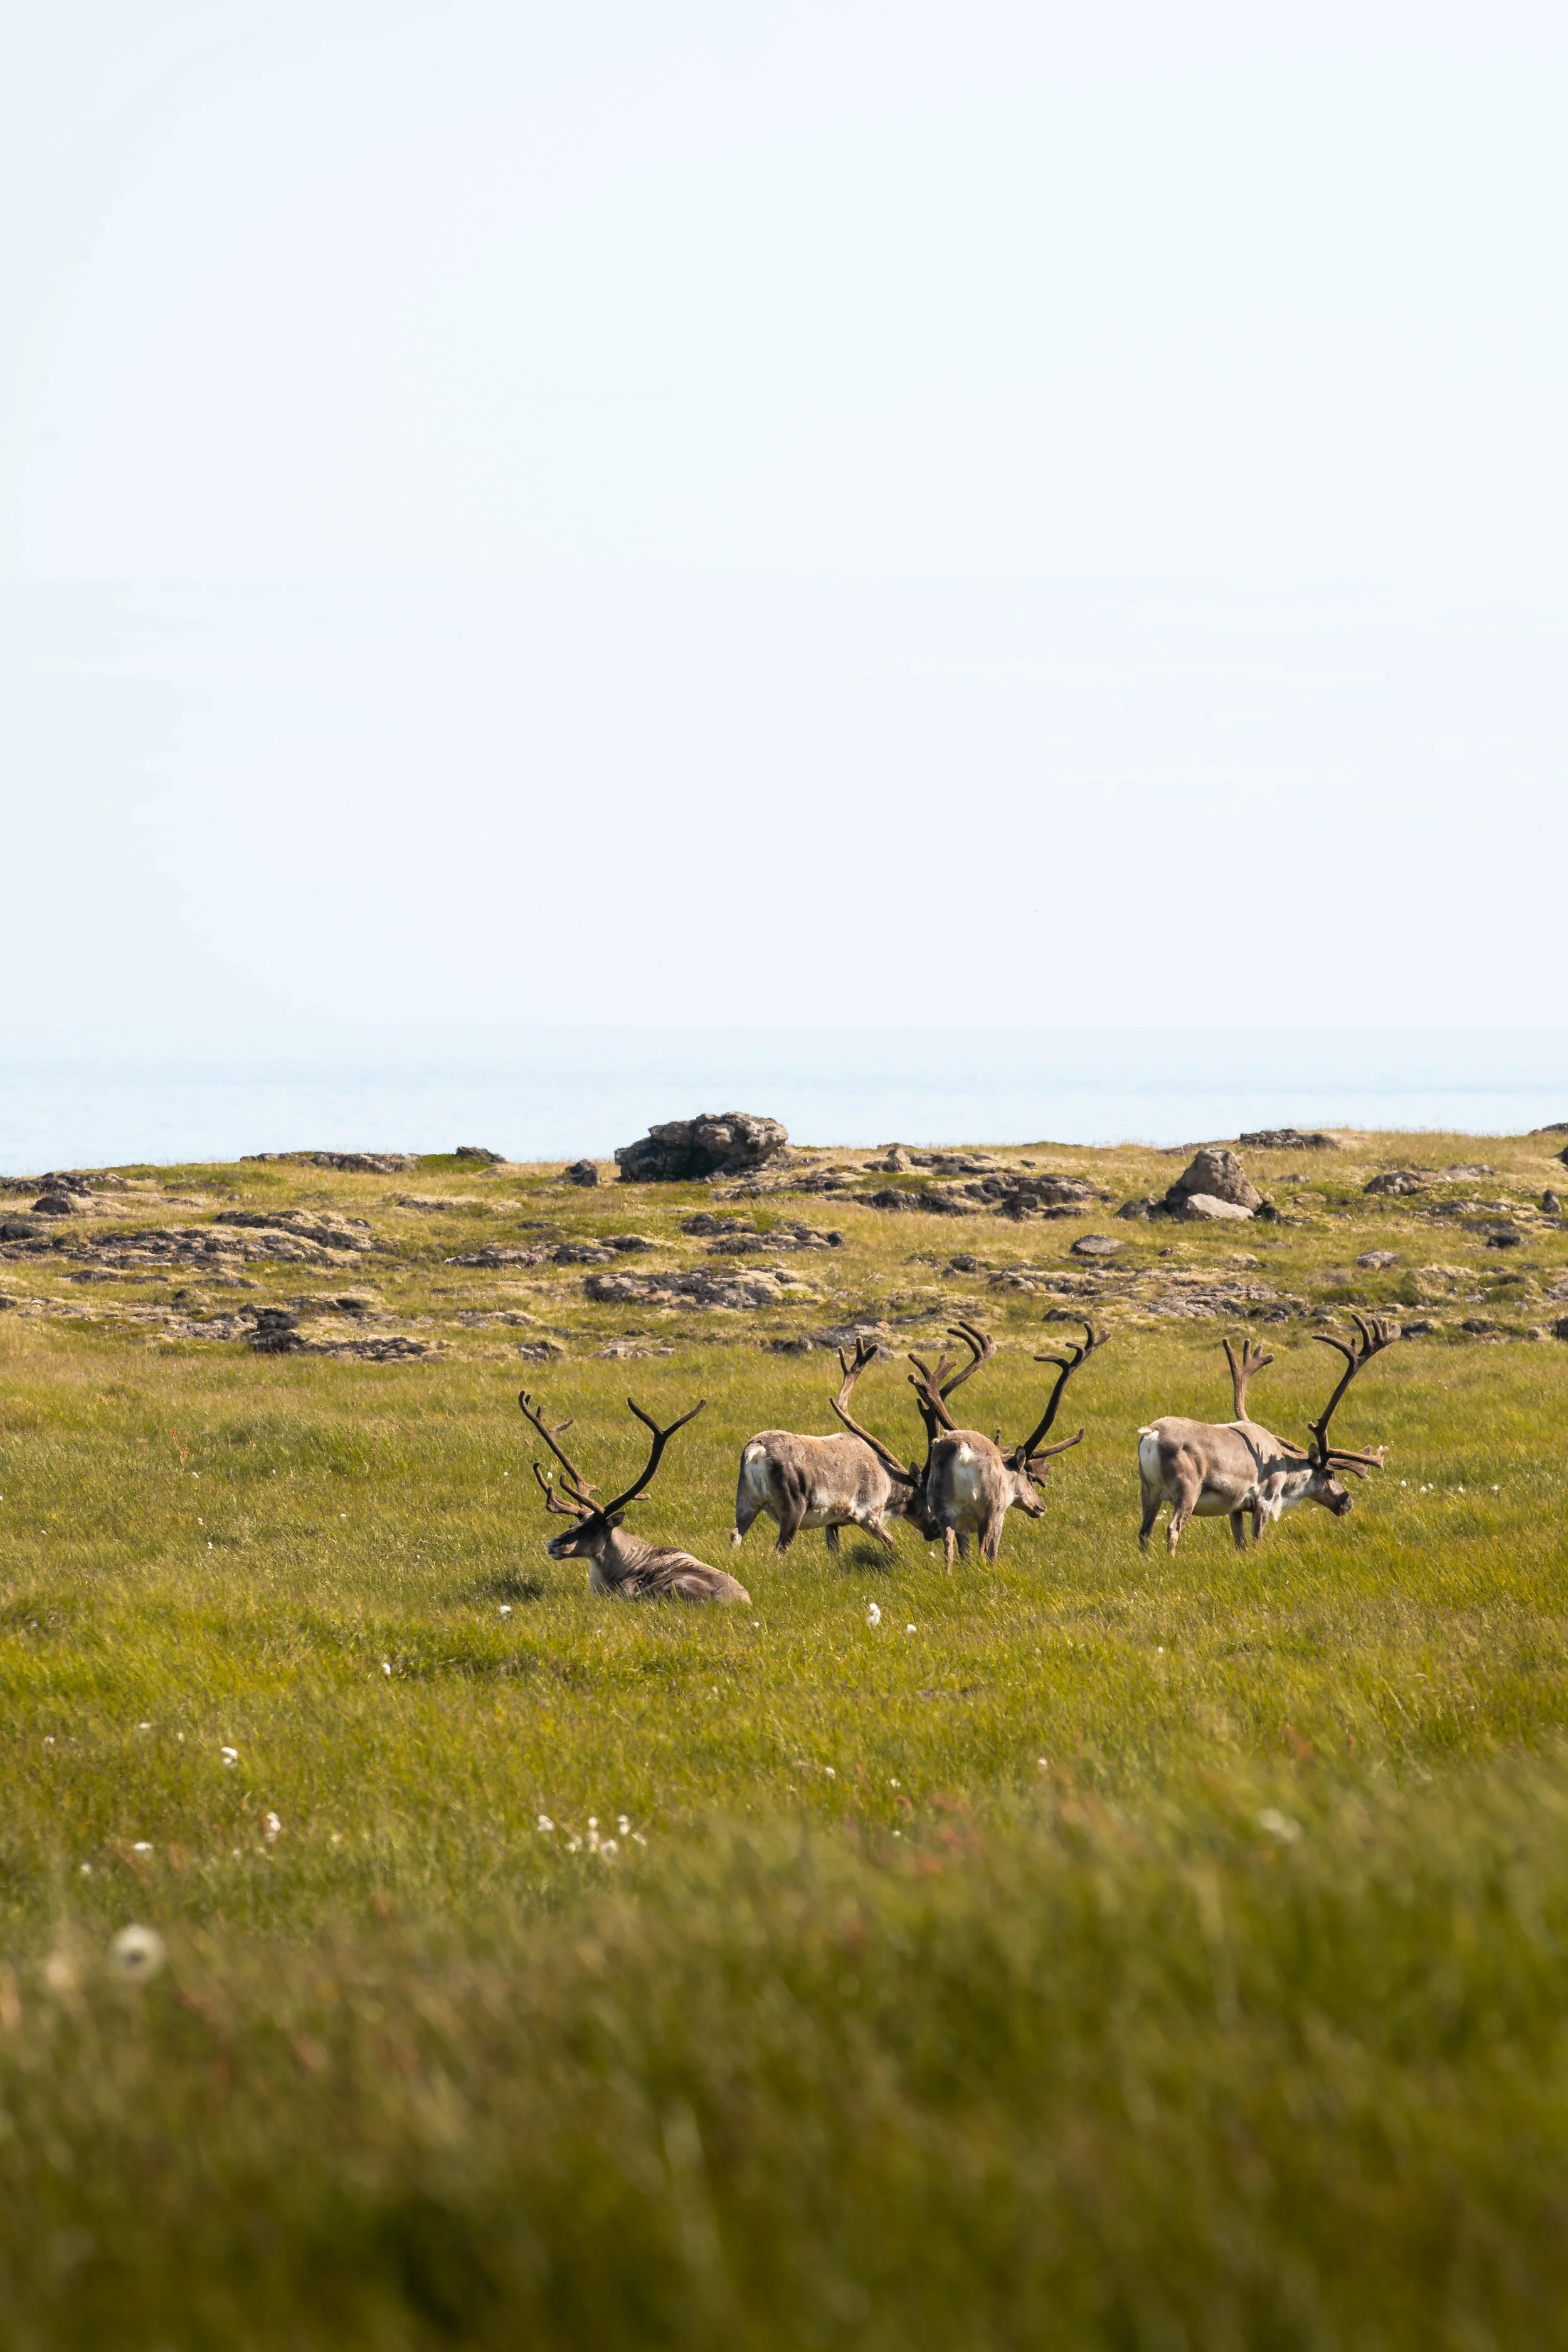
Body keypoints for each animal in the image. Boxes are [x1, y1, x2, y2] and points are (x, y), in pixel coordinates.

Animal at [731, 1337, 927, 1557]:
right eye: (927, 1495)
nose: (935, 1530)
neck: (888, 1481)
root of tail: (755, 1449)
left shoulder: (831, 1523)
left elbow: (835, 1551)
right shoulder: (867, 1515)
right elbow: (891, 1542)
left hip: (746, 1501)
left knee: (735, 1534)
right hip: (792, 1510)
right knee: (778, 1551)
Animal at [908, 1319, 1110, 1567]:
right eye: (1030, 1478)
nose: (1040, 1507)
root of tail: (962, 1451)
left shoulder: (962, 1524)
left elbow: (963, 1555)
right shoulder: (1000, 1514)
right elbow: (992, 1553)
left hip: (944, 1509)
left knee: (949, 1555)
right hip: (989, 1509)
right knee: (983, 1551)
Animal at [1136, 1316, 1399, 1555]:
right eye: (1331, 1474)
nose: (1348, 1503)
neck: (1284, 1468)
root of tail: (1152, 1434)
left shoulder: (1236, 1506)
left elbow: (1240, 1543)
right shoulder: (1264, 1499)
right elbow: (1256, 1541)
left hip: (1149, 1490)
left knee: (1144, 1532)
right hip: (1187, 1489)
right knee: (1173, 1528)